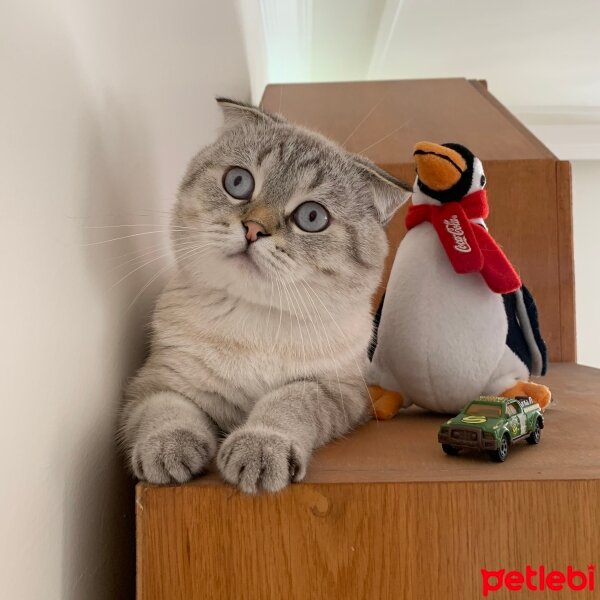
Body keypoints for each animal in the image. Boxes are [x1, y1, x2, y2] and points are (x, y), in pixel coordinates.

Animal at [119, 97, 410, 492]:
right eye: (238, 182)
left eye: (312, 216)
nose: (253, 229)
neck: (251, 320)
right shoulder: (157, 380)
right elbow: (166, 408)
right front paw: (168, 448)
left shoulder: (337, 389)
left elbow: (285, 402)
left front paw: (258, 448)